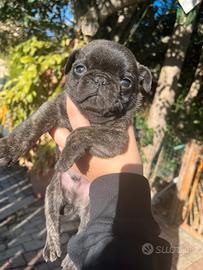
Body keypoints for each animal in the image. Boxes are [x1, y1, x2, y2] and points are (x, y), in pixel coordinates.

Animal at [0, 39, 152, 268]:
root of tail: (74, 204)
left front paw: (66, 157)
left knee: (82, 236)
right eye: (79, 68)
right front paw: (10, 147)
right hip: (52, 193)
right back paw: (51, 246)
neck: (91, 114)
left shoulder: (116, 139)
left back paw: (71, 260)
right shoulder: (52, 107)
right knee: (52, 221)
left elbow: (81, 132)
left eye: (126, 82)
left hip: (89, 214)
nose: (100, 79)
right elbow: (30, 127)